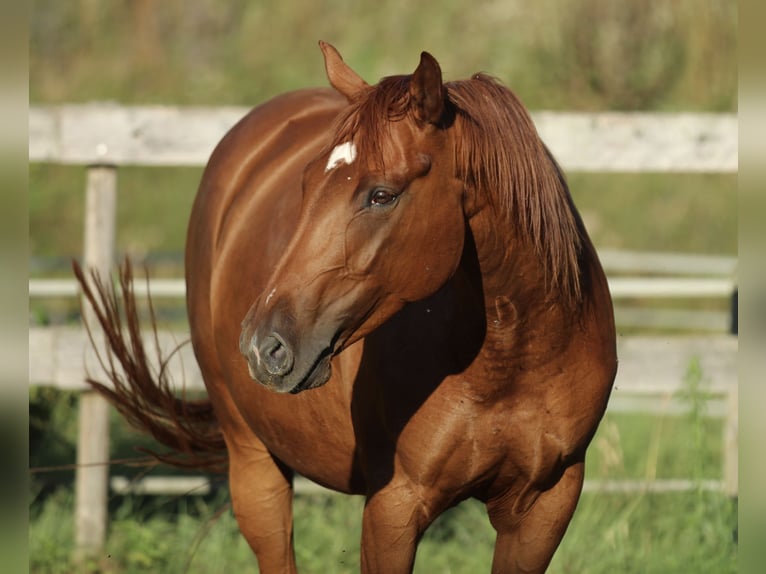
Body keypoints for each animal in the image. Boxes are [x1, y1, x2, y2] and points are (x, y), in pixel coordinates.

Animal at [76, 42, 616, 572]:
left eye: (381, 195)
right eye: (306, 183)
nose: (263, 346)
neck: (515, 359)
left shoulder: (544, 507)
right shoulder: (394, 505)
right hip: (253, 462)